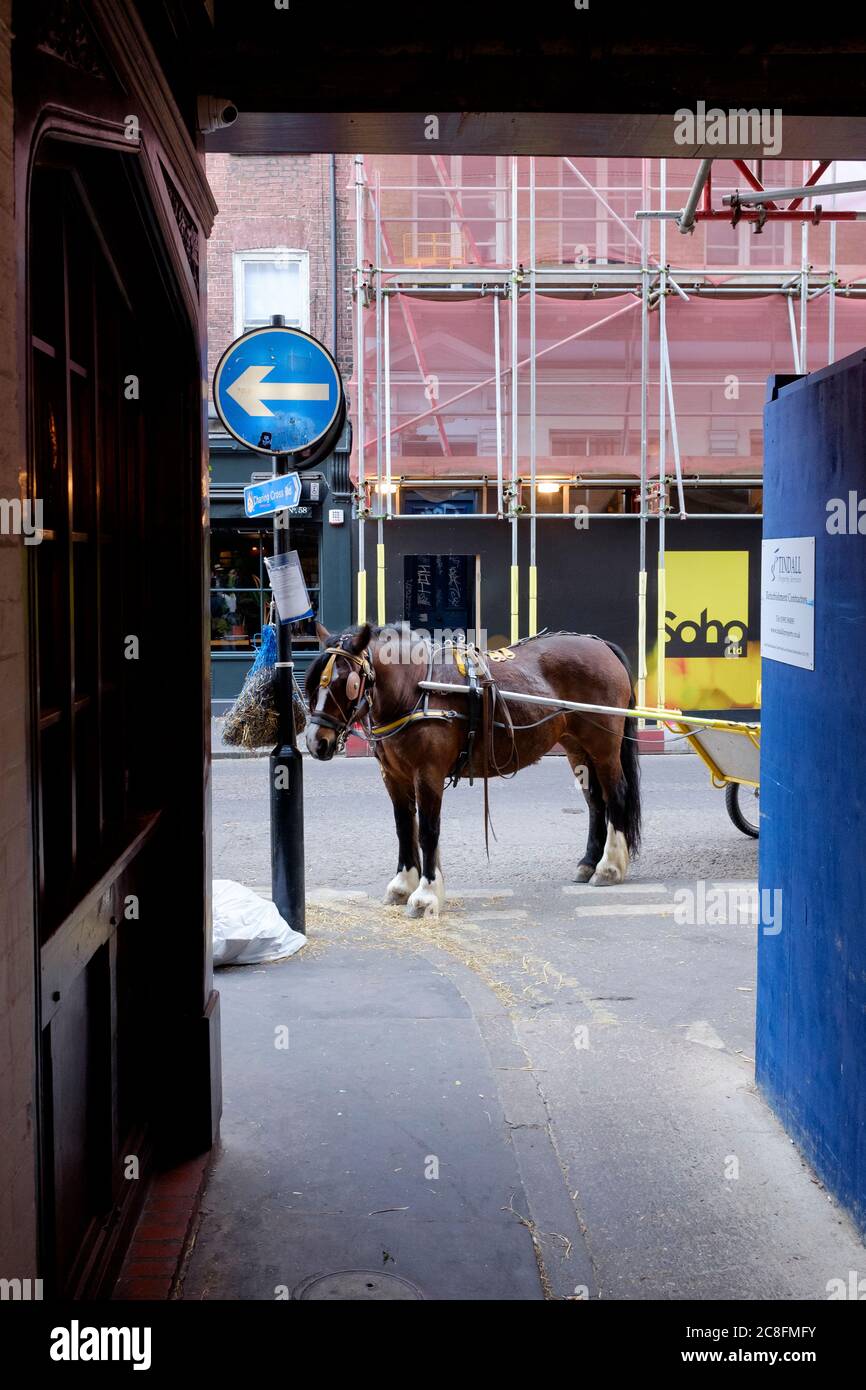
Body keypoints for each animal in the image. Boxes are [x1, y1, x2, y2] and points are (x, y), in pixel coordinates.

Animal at [304, 623, 641, 919]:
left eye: (347, 682)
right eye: (313, 682)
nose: (315, 741)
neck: (416, 689)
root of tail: (601, 645)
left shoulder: (428, 773)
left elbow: (428, 831)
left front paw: (426, 895)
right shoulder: (394, 776)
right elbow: (404, 828)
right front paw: (403, 885)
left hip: (603, 746)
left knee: (616, 795)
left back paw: (609, 867)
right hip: (576, 747)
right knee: (595, 802)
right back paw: (589, 862)